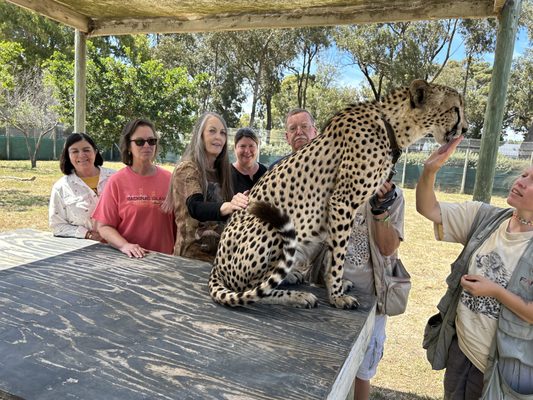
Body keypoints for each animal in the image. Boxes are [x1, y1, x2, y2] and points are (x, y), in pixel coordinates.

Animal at [208, 79, 466, 310]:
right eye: (456, 109)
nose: (465, 129)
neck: (391, 126)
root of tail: (216, 266)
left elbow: (334, 253)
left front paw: (336, 286)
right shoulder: (343, 202)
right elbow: (339, 254)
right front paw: (337, 296)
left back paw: (290, 277)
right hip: (272, 224)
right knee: (250, 289)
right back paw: (296, 296)